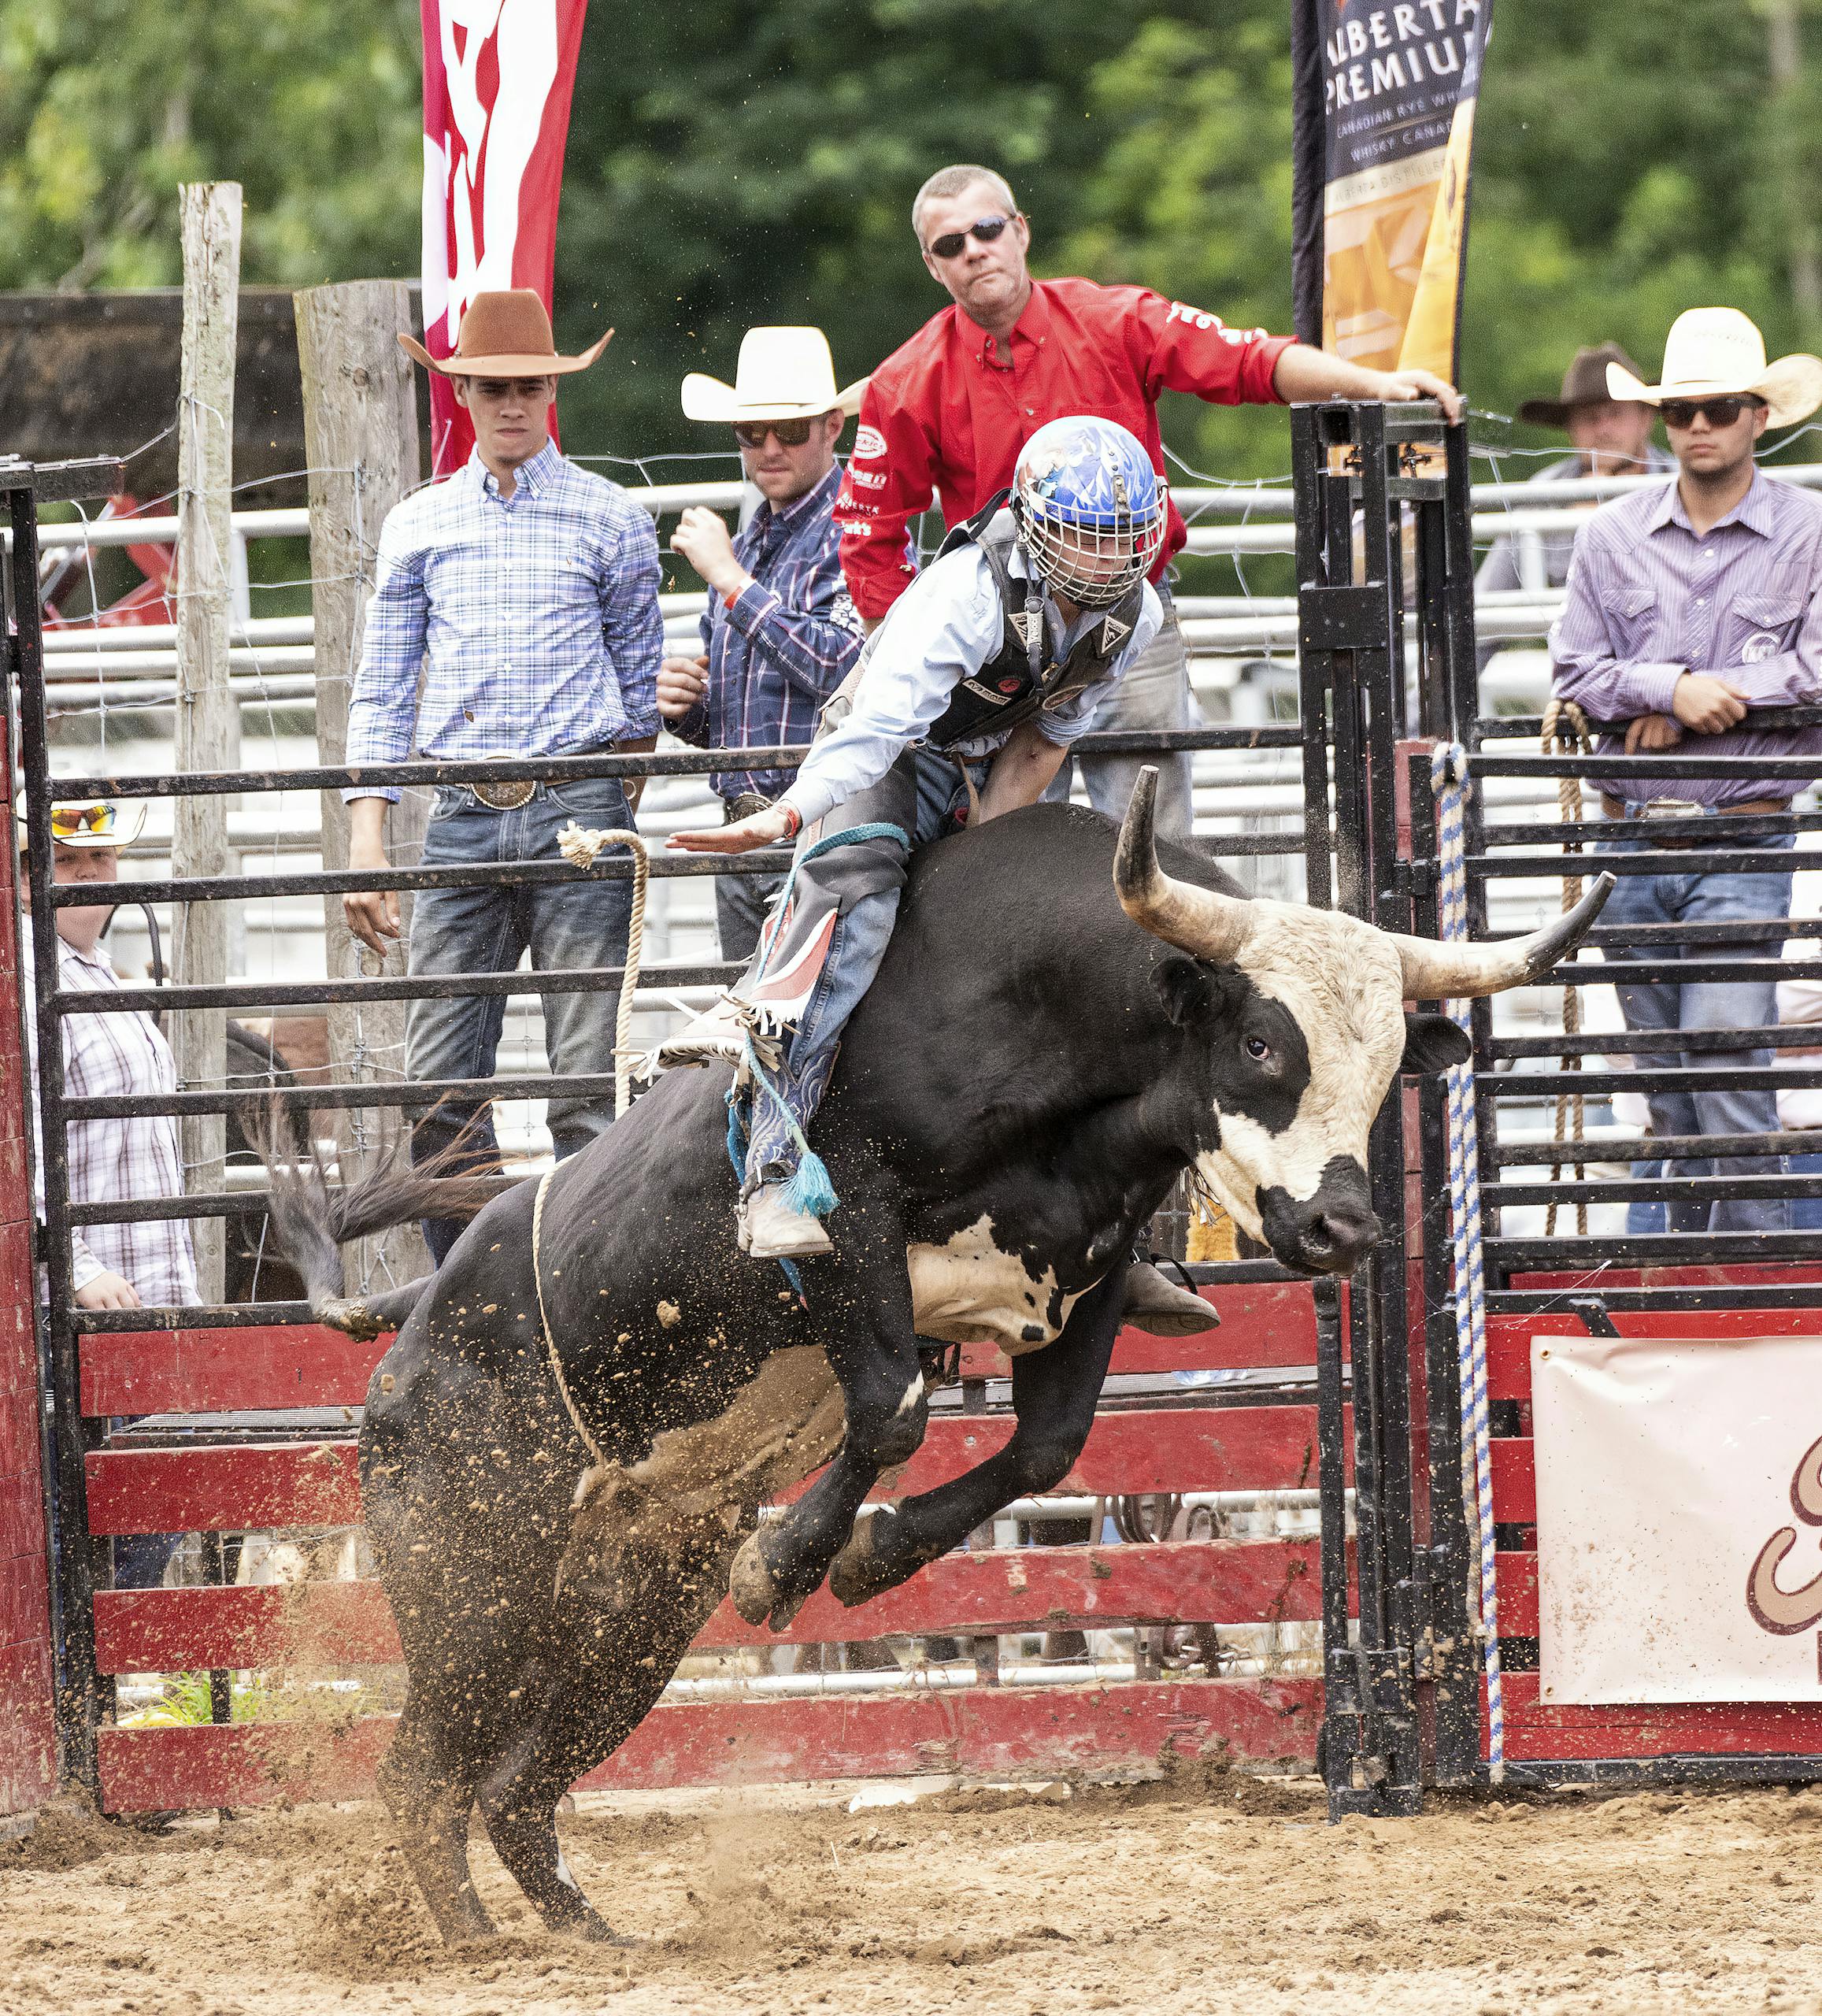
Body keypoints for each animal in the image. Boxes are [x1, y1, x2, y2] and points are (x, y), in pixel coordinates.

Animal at [263, 770, 1610, 1944]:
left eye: (1383, 1066)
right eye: (1263, 1047)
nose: (1341, 1228)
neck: (1056, 1034)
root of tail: (411, 1327)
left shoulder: (1089, 1270)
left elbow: (1042, 1447)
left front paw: (864, 1559)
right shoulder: (846, 1218)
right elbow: (895, 1410)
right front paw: (789, 1564)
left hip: (629, 1612)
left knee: (513, 1787)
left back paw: (589, 1935)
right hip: (469, 1576)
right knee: (420, 1772)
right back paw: (469, 1938)